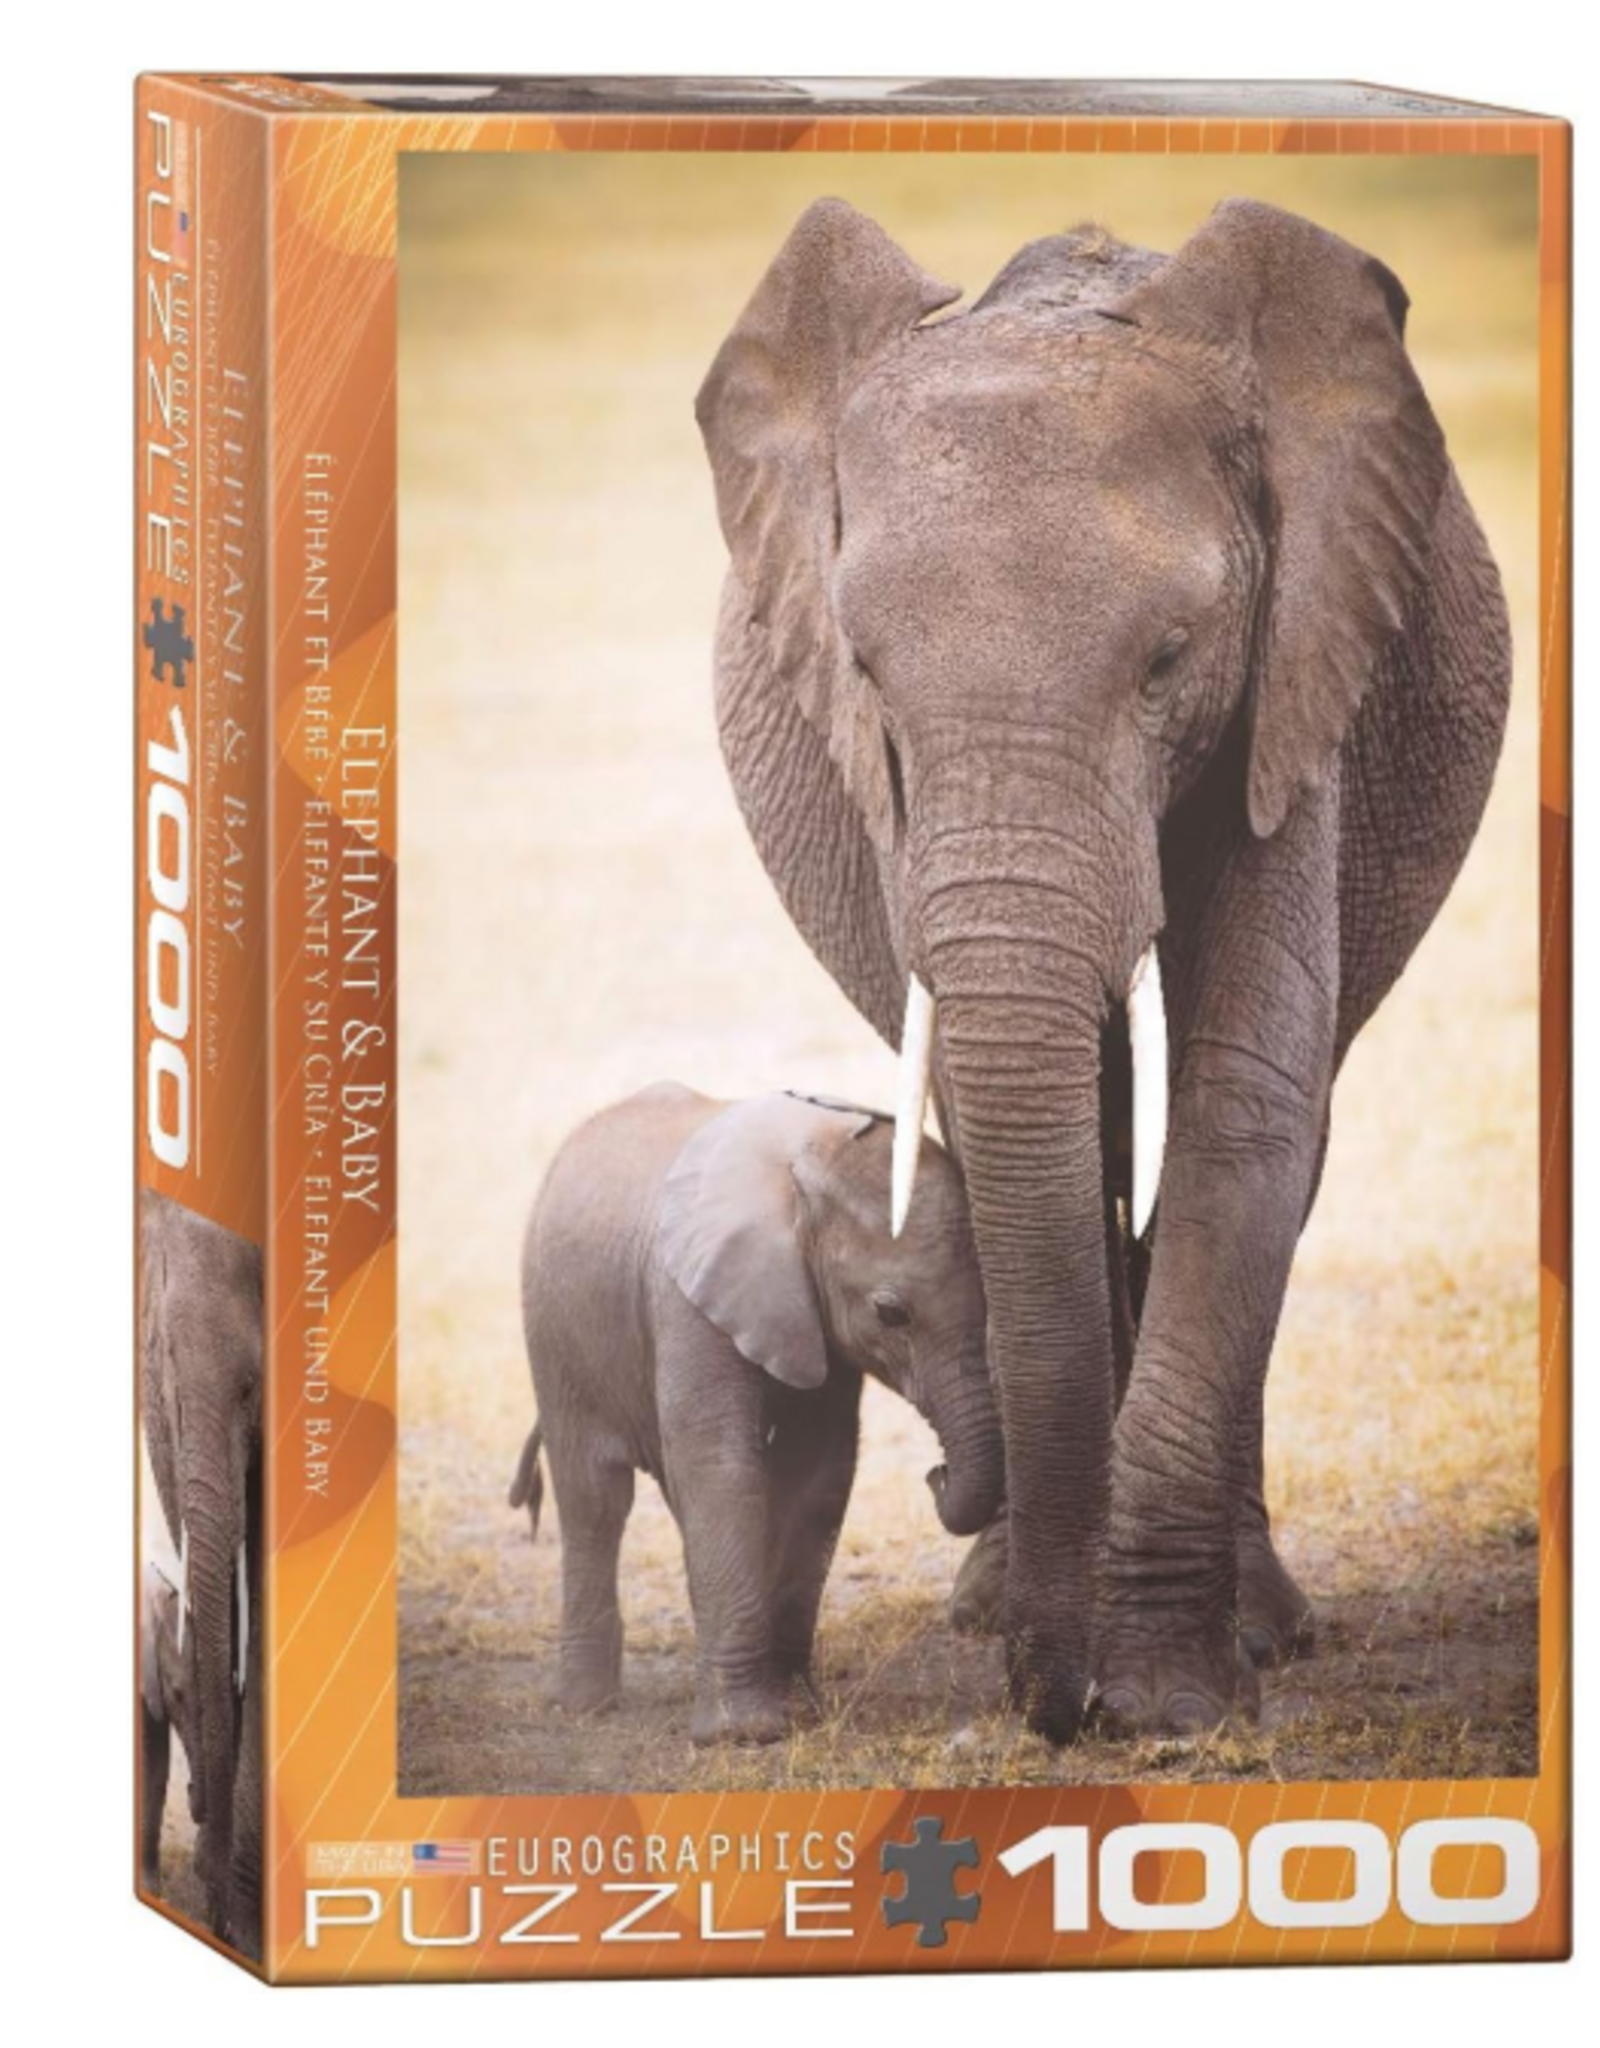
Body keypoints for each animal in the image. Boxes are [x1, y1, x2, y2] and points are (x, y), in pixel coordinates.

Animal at [511, 1082, 1003, 1744]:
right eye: (890, 1313)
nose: (937, 1473)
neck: (807, 1166)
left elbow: (820, 1473)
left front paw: (797, 1709)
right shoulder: (688, 1298)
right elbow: (723, 1468)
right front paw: (743, 1734)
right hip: (555, 1336)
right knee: (595, 1498)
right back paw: (584, 1705)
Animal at [696, 197, 1510, 1742]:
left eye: (1169, 658)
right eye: (866, 674)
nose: (1050, 1703)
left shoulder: (1296, 674)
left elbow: (1242, 1101)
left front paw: (1173, 1700)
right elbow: (1020, 1115)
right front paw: (1070, 1654)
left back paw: (1260, 1627)